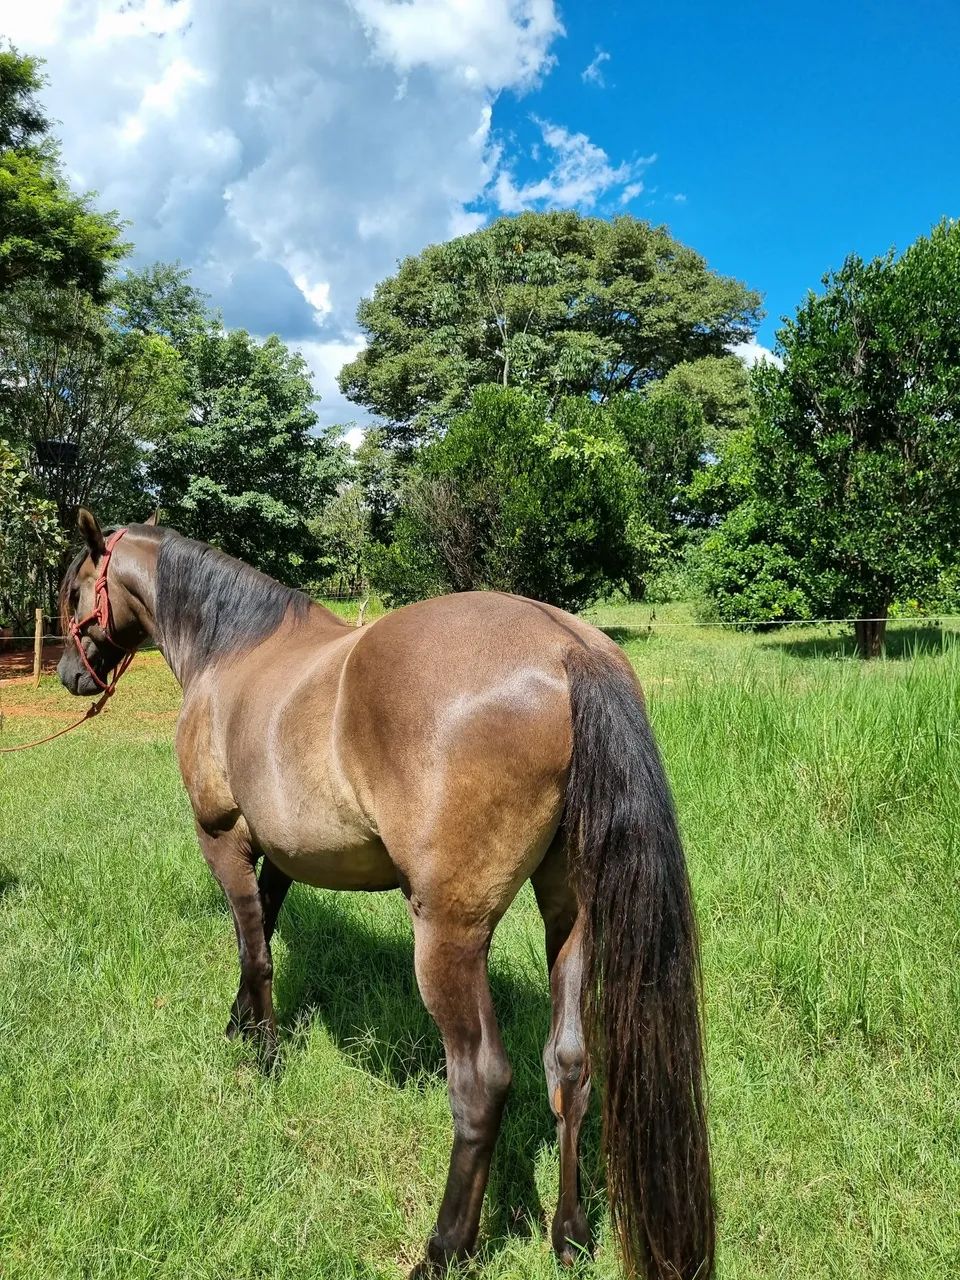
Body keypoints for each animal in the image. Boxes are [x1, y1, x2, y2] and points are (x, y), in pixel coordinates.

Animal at [57, 509, 714, 1280]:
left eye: (74, 589)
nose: (70, 674)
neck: (232, 650)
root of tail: (567, 651)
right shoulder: (283, 854)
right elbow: (265, 928)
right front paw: (242, 1024)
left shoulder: (221, 836)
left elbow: (253, 945)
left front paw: (261, 1052)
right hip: (571, 918)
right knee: (571, 1066)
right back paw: (570, 1233)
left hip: (449, 936)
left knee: (481, 1084)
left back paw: (445, 1248)